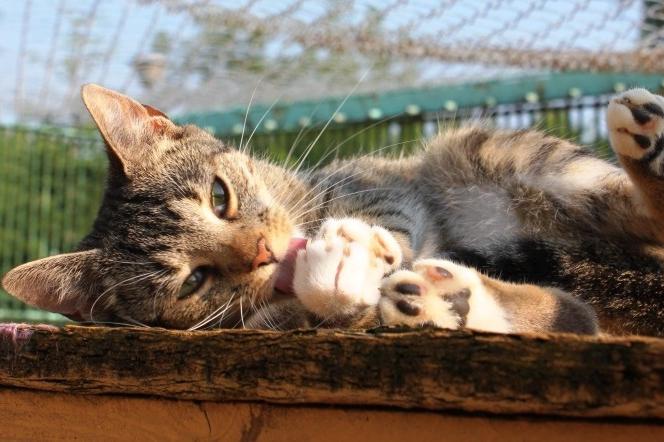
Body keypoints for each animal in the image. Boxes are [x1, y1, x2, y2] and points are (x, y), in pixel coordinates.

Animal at [3, 84, 664, 334]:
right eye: (194, 280)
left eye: (219, 196)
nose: (266, 252)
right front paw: (334, 281)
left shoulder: (379, 187)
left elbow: (386, 218)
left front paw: (353, 254)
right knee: (579, 315)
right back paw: (448, 297)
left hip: (481, 150)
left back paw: (645, 147)